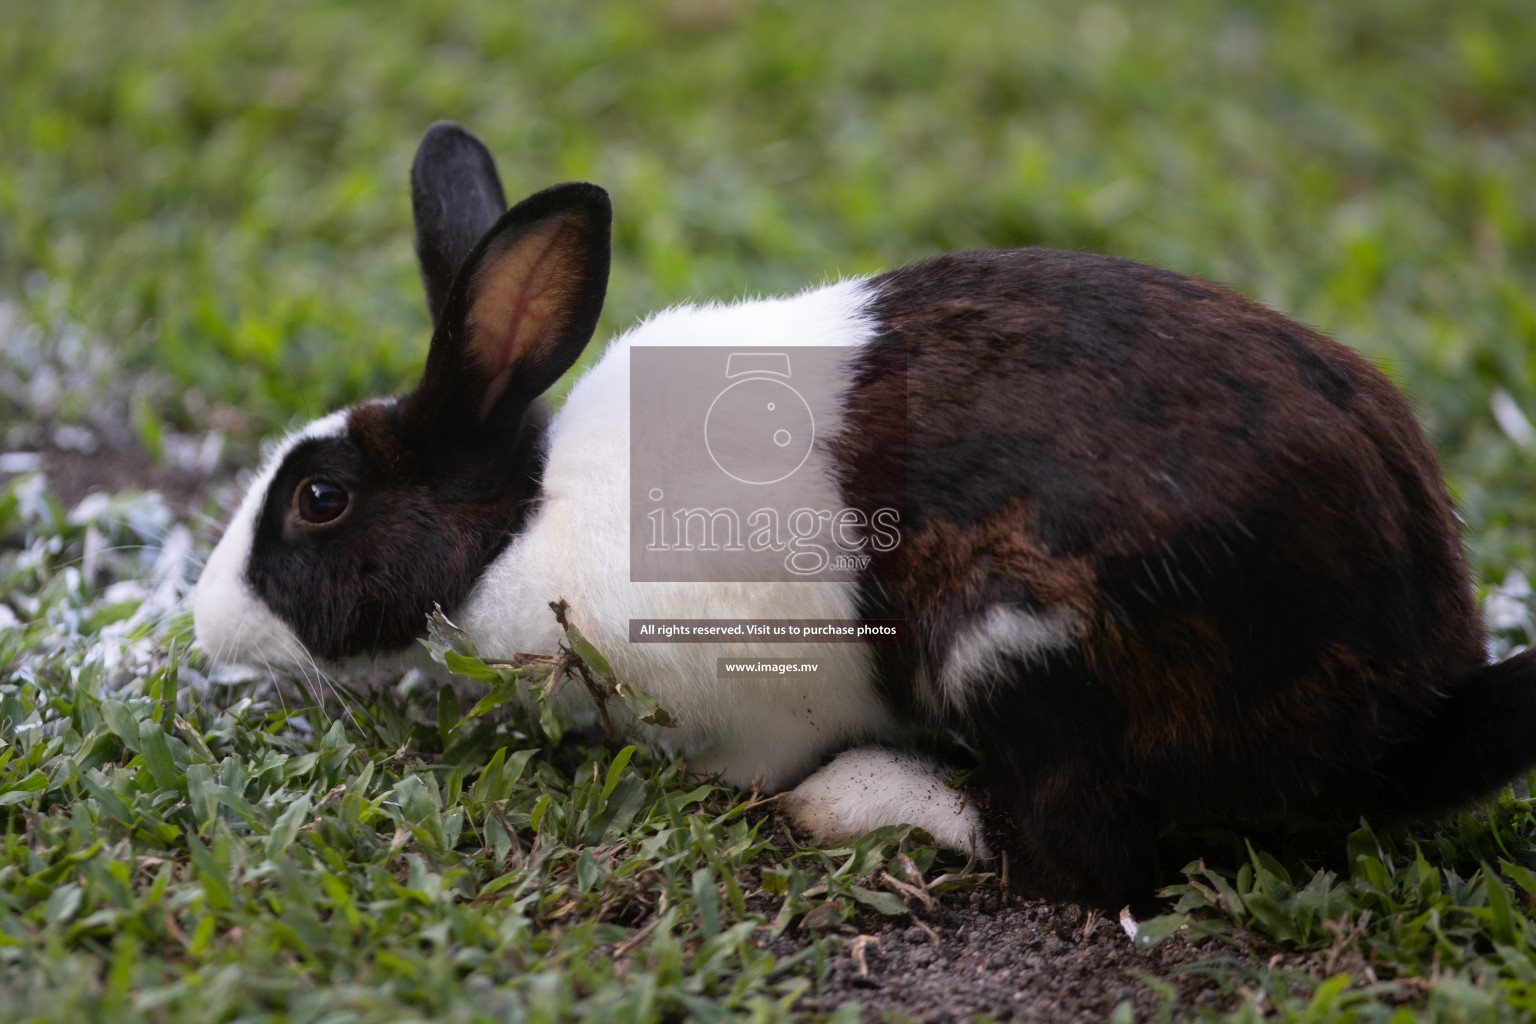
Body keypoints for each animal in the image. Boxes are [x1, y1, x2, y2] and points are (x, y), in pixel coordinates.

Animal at [195, 124, 1536, 908]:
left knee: (1073, 855)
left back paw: (869, 800)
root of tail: (1408, 712)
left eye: (319, 499)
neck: (518, 526)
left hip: (1014, 645)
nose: (207, 625)